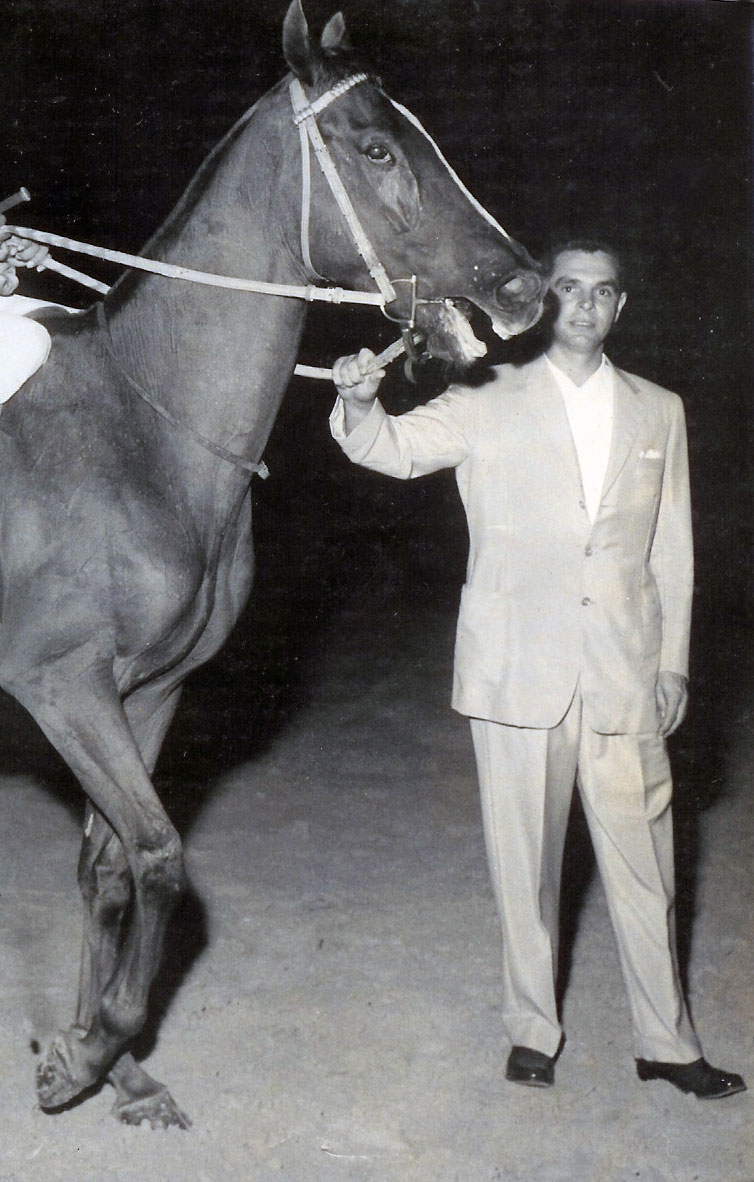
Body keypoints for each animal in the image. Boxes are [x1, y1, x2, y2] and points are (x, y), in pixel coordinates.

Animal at [0, 0, 543, 1125]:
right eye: (376, 146)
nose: (525, 288)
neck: (138, 430)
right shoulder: (60, 684)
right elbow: (160, 856)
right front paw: (89, 1050)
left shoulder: (148, 690)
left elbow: (109, 867)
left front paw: (105, 1060)